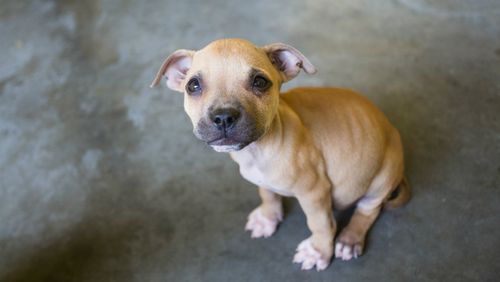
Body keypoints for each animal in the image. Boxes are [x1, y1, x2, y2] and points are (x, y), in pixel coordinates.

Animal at [151, 38, 410, 270]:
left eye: (260, 82)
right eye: (193, 85)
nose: (223, 116)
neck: (257, 150)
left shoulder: (314, 191)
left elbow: (321, 224)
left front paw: (318, 251)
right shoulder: (263, 180)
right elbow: (267, 194)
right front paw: (268, 218)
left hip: (381, 180)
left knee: (368, 211)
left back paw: (349, 240)